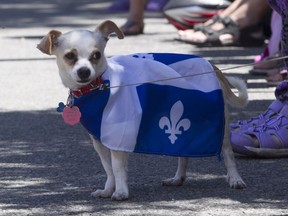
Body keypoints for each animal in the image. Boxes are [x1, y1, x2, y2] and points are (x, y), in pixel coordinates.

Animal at [37, 20, 249, 201]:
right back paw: (177, 178)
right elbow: (108, 169)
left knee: (228, 153)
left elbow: (117, 168)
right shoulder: (100, 141)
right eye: (70, 56)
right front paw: (108, 189)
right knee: (184, 153)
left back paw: (235, 179)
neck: (100, 87)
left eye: (96, 55)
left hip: (220, 126)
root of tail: (210, 64)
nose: (84, 71)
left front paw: (121, 192)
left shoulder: (118, 137)